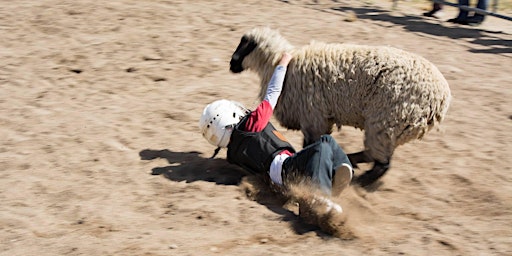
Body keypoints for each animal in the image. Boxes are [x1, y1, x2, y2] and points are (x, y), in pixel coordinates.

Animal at [230, 27, 450, 187]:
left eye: (245, 44)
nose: (231, 64)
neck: (281, 64)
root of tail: (441, 100)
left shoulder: (314, 117)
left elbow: (310, 143)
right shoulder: (320, 119)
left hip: (386, 123)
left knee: (382, 163)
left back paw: (361, 181)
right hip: (391, 129)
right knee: (374, 155)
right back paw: (352, 162)